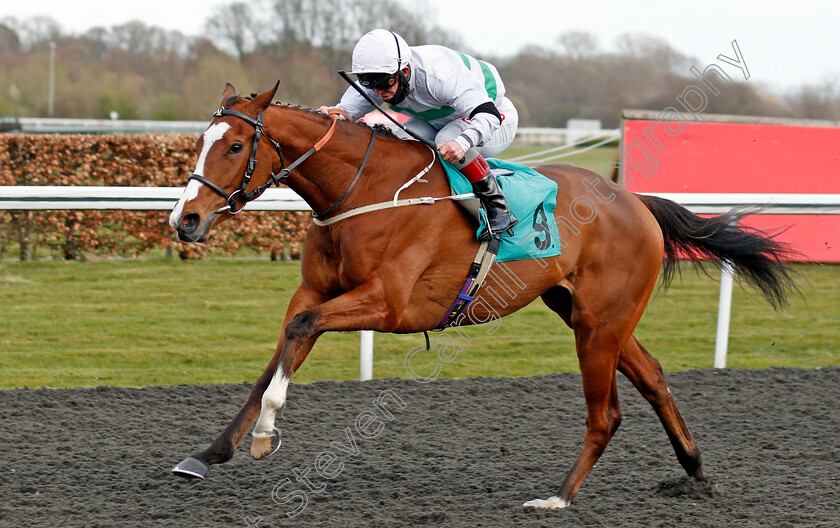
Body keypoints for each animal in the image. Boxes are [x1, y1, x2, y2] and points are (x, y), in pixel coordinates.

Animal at [169, 81, 796, 508]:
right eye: (201, 142)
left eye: (235, 146)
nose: (185, 220)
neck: (363, 191)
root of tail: (634, 199)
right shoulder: (314, 292)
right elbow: (279, 354)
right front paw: (208, 453)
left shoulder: (388, 303)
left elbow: (298, 337)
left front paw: (266, 434)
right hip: (587, 312)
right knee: (655, 378)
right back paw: (695, 472)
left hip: (599, 324)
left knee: (608, 413)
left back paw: (558, 497)